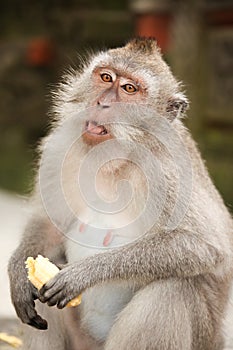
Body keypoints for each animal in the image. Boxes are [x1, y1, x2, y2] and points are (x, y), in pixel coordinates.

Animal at [7, 39, 233, 350]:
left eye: (129, 89)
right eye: (106, 77)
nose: (102, 103)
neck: (115, 156)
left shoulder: (168, 173)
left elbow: (205, 246)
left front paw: (84, 273)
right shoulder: (60, 147)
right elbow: (49, 224)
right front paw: (18, 273)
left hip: (203, 337)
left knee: (170, 289)